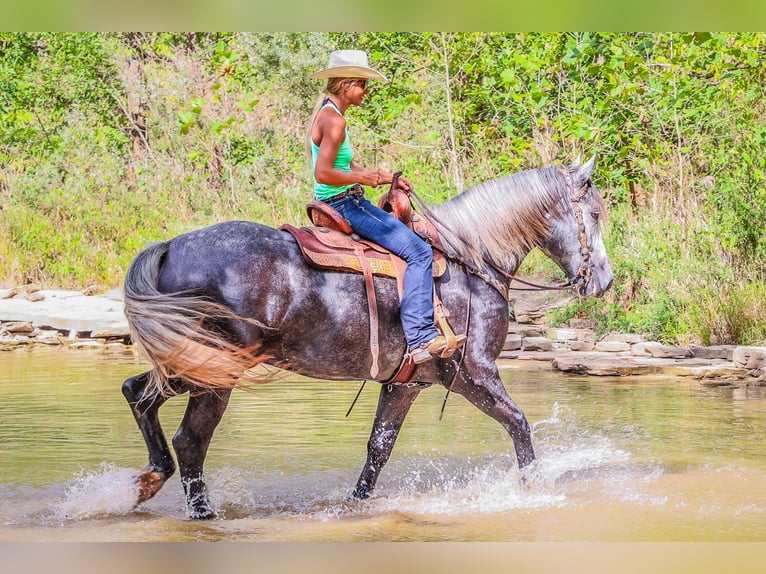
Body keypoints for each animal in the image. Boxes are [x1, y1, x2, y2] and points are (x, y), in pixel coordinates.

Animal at [121, 154, 613, 519]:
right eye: (594, 214)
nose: (604, 282)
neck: (470, 259)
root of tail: (171, 248)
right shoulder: (472, 372)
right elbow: (518, 424)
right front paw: (532, 490)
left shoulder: (405, 384)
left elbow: (379, 448)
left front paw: (355, 506)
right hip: (215, 371)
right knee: (190, 440)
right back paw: (201, 513)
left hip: (189, 363)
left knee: (137, 393)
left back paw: (150, 480)